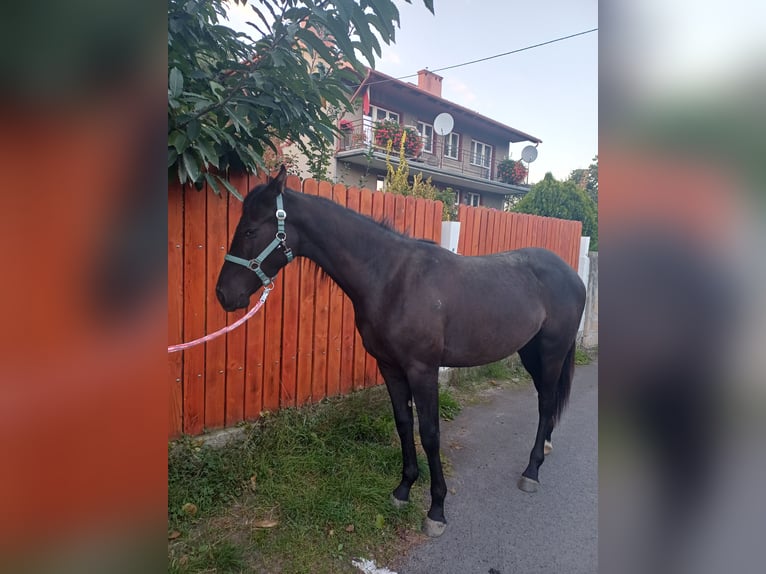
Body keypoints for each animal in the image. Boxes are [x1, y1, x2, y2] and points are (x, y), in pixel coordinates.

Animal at [215, 166, 586, 537]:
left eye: (250, 230)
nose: (223, 294)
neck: (392, 278)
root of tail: (572, 274)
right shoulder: (390, 366)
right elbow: (404, 423)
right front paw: (404, 488)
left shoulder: (423, 370)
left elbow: (431, 434)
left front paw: (436, 509)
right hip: (530, 352)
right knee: (546, 400)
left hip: (552, 353)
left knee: (546, 402)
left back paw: (531, 471)